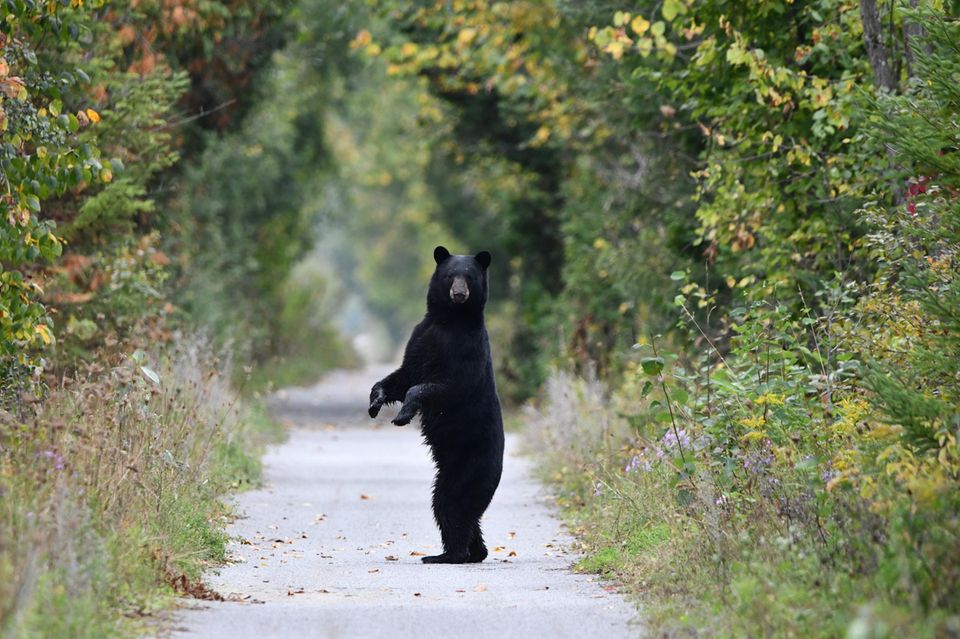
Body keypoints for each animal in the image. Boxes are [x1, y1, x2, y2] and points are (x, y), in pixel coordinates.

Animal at [368, 245, 506, 564]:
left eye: (469, 276)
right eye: (450, 275)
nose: (459, 293)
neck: (450, 320)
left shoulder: (466, 350)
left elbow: (442, 386)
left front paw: (402, 415)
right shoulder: (421, 336)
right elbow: (403, 376)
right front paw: (375, 401)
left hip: (470, 468)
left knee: (453, 506)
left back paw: (448, 554)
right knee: (453, 508)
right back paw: (474, 551)